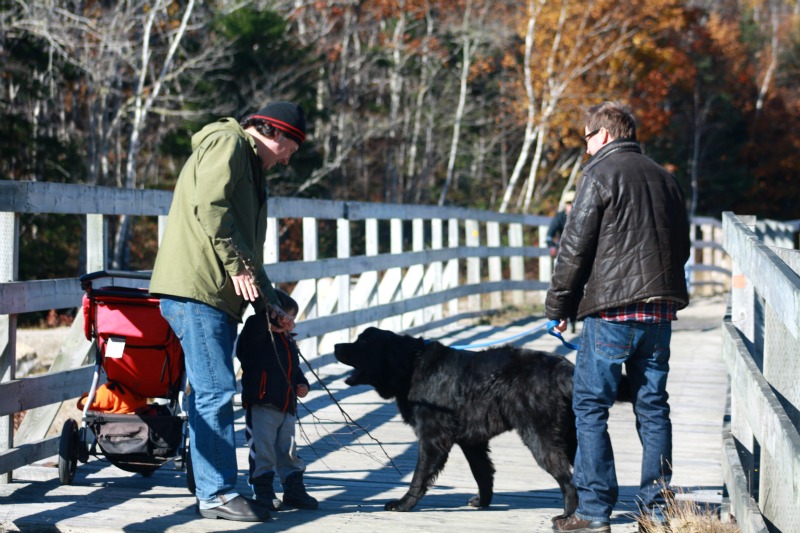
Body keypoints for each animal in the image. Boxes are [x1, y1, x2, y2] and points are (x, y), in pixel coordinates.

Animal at [332, 326, 580, 516]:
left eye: (362, 342)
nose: (335, 346)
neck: (410, 366)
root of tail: (561, 368)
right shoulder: (472, 442)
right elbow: (482, 472)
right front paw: (482, 502)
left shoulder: (432, 438)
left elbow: (419, 476)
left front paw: (403, 504)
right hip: (569, 435)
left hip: (540, 437)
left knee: (567, 479)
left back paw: (567, 516)